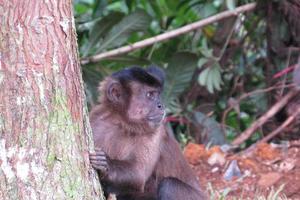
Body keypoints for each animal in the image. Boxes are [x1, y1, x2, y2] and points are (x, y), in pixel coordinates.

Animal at [89, 66, 206, 200]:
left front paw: (106, 163)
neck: (120, 122)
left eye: (158, 95)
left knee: (169, 186)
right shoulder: (96, 118)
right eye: (150, 95)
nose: (161, 105)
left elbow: (139, 174)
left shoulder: (156, 131)